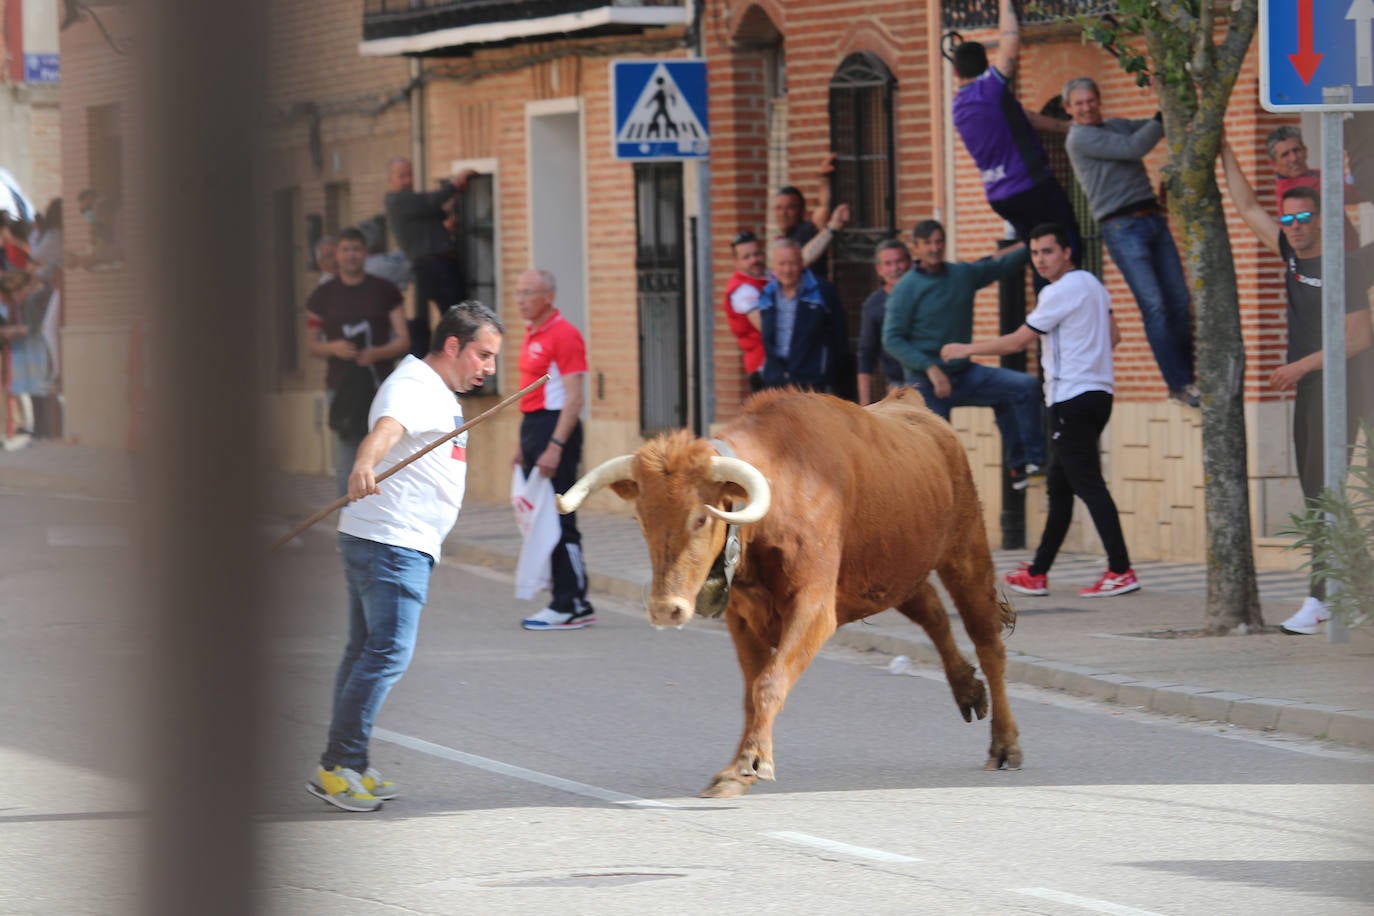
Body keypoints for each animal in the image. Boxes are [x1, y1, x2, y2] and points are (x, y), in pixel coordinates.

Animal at [557, 387, 1022, 796]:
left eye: (700, 518)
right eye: (641, 518)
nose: (665, 609)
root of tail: (911, 403)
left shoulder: (813, 608)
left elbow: (769, 683)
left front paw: (750, 763)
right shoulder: (742, 617)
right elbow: (751, 693)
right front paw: (738, 769)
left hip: (965, 550)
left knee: (988, 643)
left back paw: (1004, 743)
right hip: (892, 570)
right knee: (932, 610)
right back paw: (968, 690)